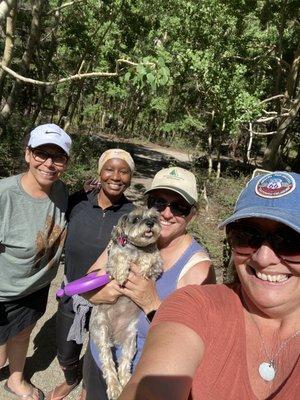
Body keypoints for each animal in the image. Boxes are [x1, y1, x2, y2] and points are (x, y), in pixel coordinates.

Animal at [89, 206, 162, 400]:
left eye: (154, 217)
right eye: (136, 219)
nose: (150, 223)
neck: (137, 248)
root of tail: (115, 336)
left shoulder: (158, 265)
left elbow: (151, 257)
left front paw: (143, 265)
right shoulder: (112, 261)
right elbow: (119, 256)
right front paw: (122, 273)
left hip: (130, 341)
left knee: (124, 364)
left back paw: (126, 383)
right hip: (101, 331)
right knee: (108, 363)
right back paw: (114, 388)